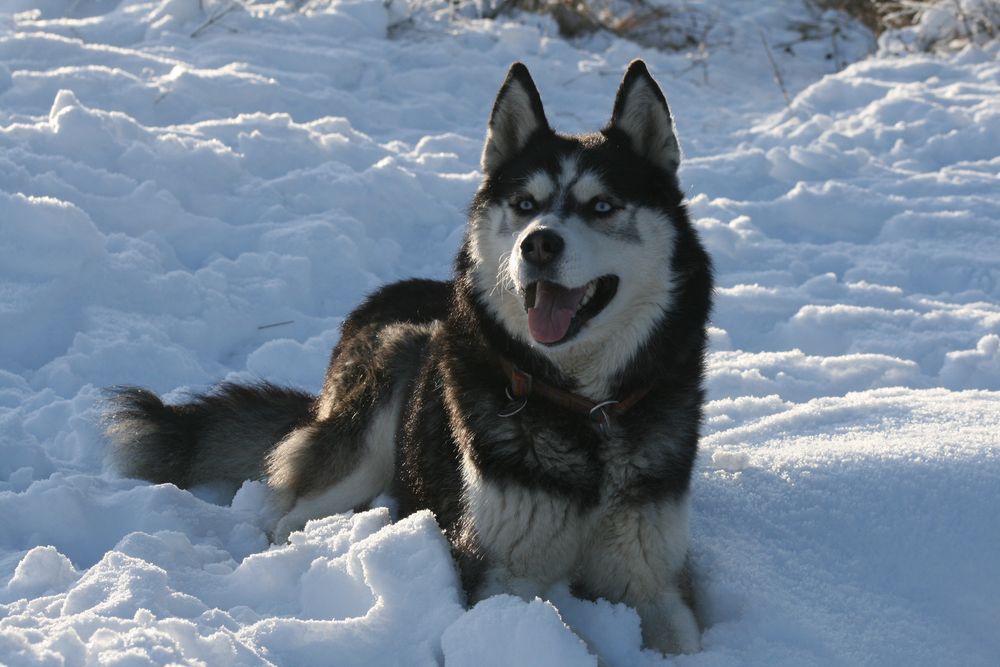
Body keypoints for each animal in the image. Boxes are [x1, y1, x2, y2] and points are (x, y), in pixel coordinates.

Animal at [107, 60, 712, 656]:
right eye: (526, 206)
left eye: (601, 206)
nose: (538, 243)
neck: (581, 408)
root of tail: (389, 296)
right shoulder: (498, 574)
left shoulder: (655, 576)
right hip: (387, 387)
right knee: (292, 514)